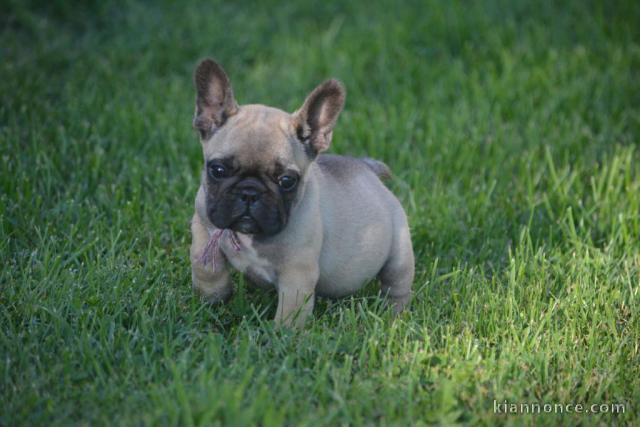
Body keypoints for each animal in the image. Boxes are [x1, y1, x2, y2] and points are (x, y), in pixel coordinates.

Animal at [189, 59, 416, 328]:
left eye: (287, 181)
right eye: (218, 170)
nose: (249, 192)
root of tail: (368, 168)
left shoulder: (296, 274)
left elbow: (290, 312)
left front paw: (279, 335)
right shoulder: (202, 221)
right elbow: (204, 264)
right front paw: (214, 296)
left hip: (399, 250)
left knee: (397, 285)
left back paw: (393, 316)